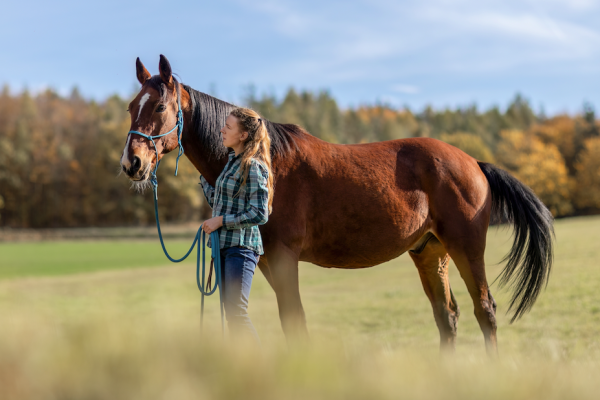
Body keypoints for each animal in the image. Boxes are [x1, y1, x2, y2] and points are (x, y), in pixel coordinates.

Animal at [118, 55, 552, 354]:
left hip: (466, 249)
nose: (132, 163)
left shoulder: (284, 258)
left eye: (159, 107)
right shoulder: (268, 262)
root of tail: (472, 162)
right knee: (448, 317)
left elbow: (294, 322)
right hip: (430, 253)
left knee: (485, 311)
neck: (269, 162)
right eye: (130, 107)